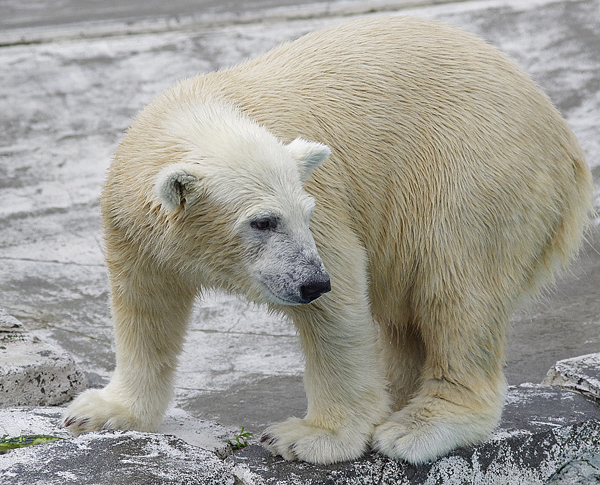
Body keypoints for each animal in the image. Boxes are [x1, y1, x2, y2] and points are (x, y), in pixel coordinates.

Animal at [63, 15, 592, 464]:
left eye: (305, 214)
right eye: (263, 221)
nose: (312, 283)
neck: (198, 113)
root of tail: (564, 137)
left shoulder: (329, 209)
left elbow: (338, 311)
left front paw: (310, 437)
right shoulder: (136, 229)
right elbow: (146, 309)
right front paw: (101, 411)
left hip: (474, 171)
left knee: (456, 288)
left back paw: (417, 425)